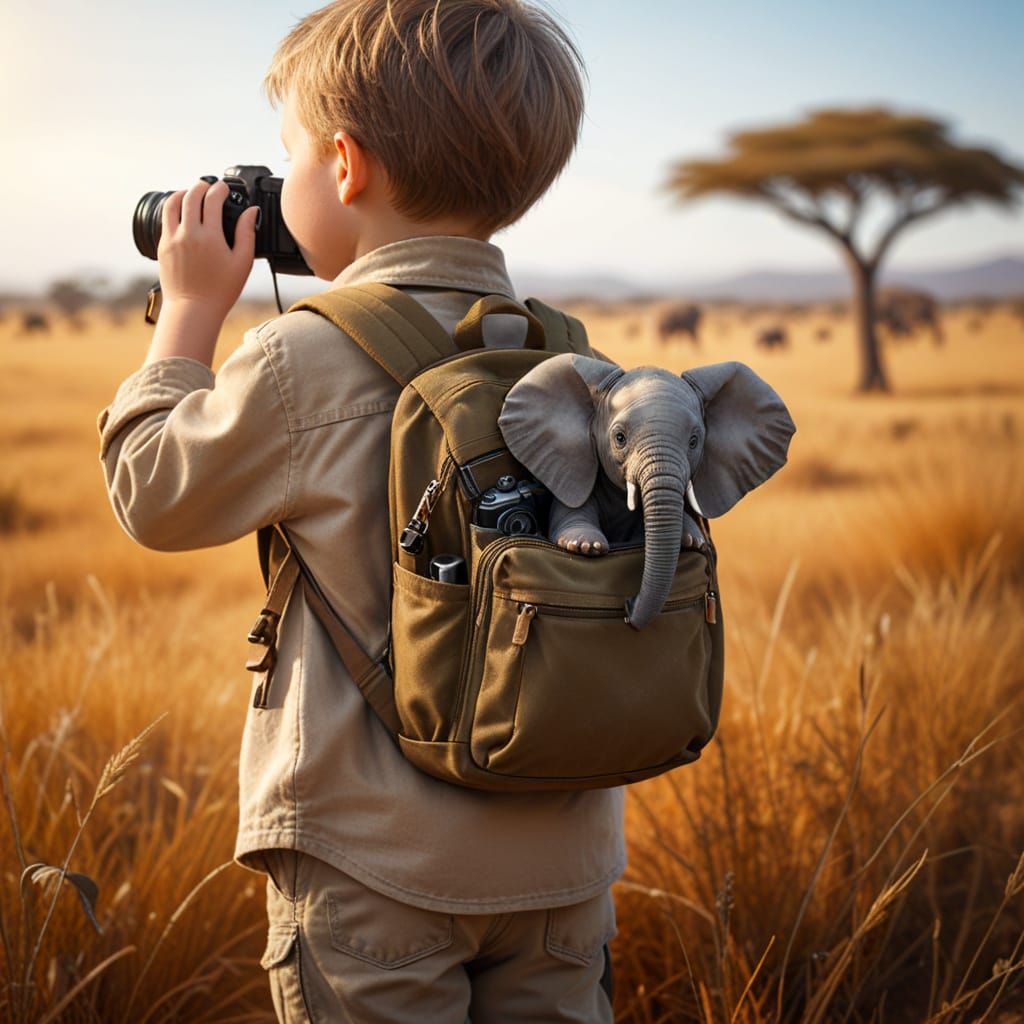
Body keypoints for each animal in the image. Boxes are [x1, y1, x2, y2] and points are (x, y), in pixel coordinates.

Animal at [496, 354, 796, 630]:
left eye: (694, 441)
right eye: (619, 438)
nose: (629, 605)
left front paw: (692, 540)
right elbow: (570, 512)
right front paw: (584, 546)